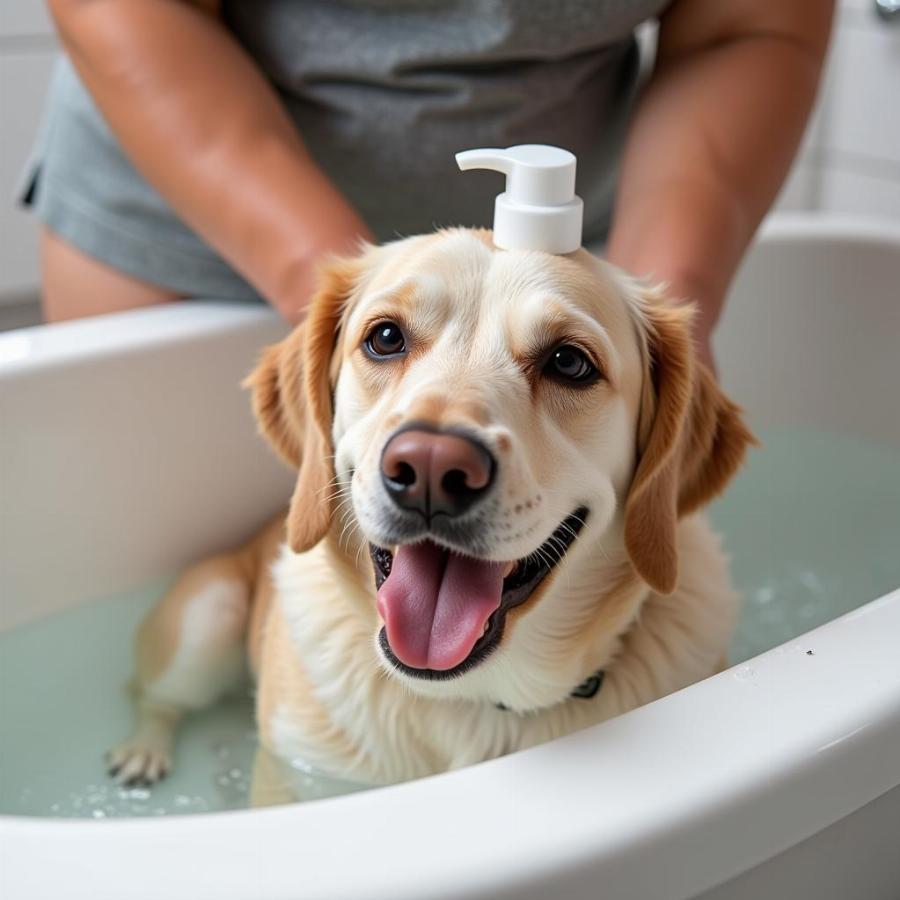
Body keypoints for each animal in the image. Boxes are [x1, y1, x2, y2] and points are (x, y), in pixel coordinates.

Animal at [107, 229, 752, 792]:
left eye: (570, 362)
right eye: (386, 337)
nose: (432, 470)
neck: (472, 700)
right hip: (208, 613)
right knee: (154, 697)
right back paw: (142, 752)